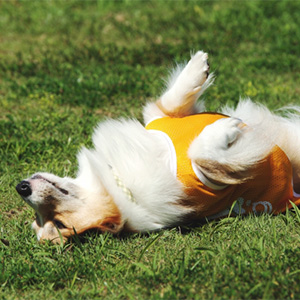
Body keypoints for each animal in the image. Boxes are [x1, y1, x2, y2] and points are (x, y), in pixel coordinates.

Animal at [15, 51, 300, 244]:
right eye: (58, 224)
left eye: (50, 221)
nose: (21, 188)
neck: (119, 180)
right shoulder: (213, 178)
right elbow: (202, 155)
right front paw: (225, 128)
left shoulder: (164, 117)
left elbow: (170, 100)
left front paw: (198, 65)